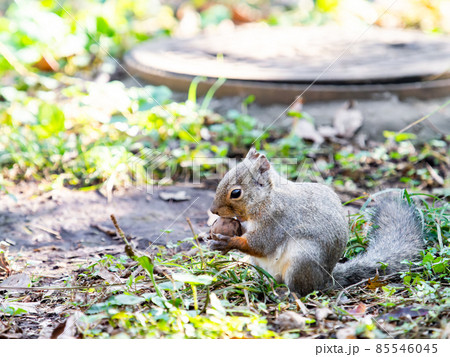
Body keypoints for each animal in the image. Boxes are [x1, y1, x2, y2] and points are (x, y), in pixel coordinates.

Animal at [209, 147, 424, 294]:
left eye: (236, 193)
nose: (213, 210)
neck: (267, 198)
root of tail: (327, 279)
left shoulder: (276, 220)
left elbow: (260, 244)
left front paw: (228, 242)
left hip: (302, 260)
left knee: (302, 290)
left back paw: (286, 294)